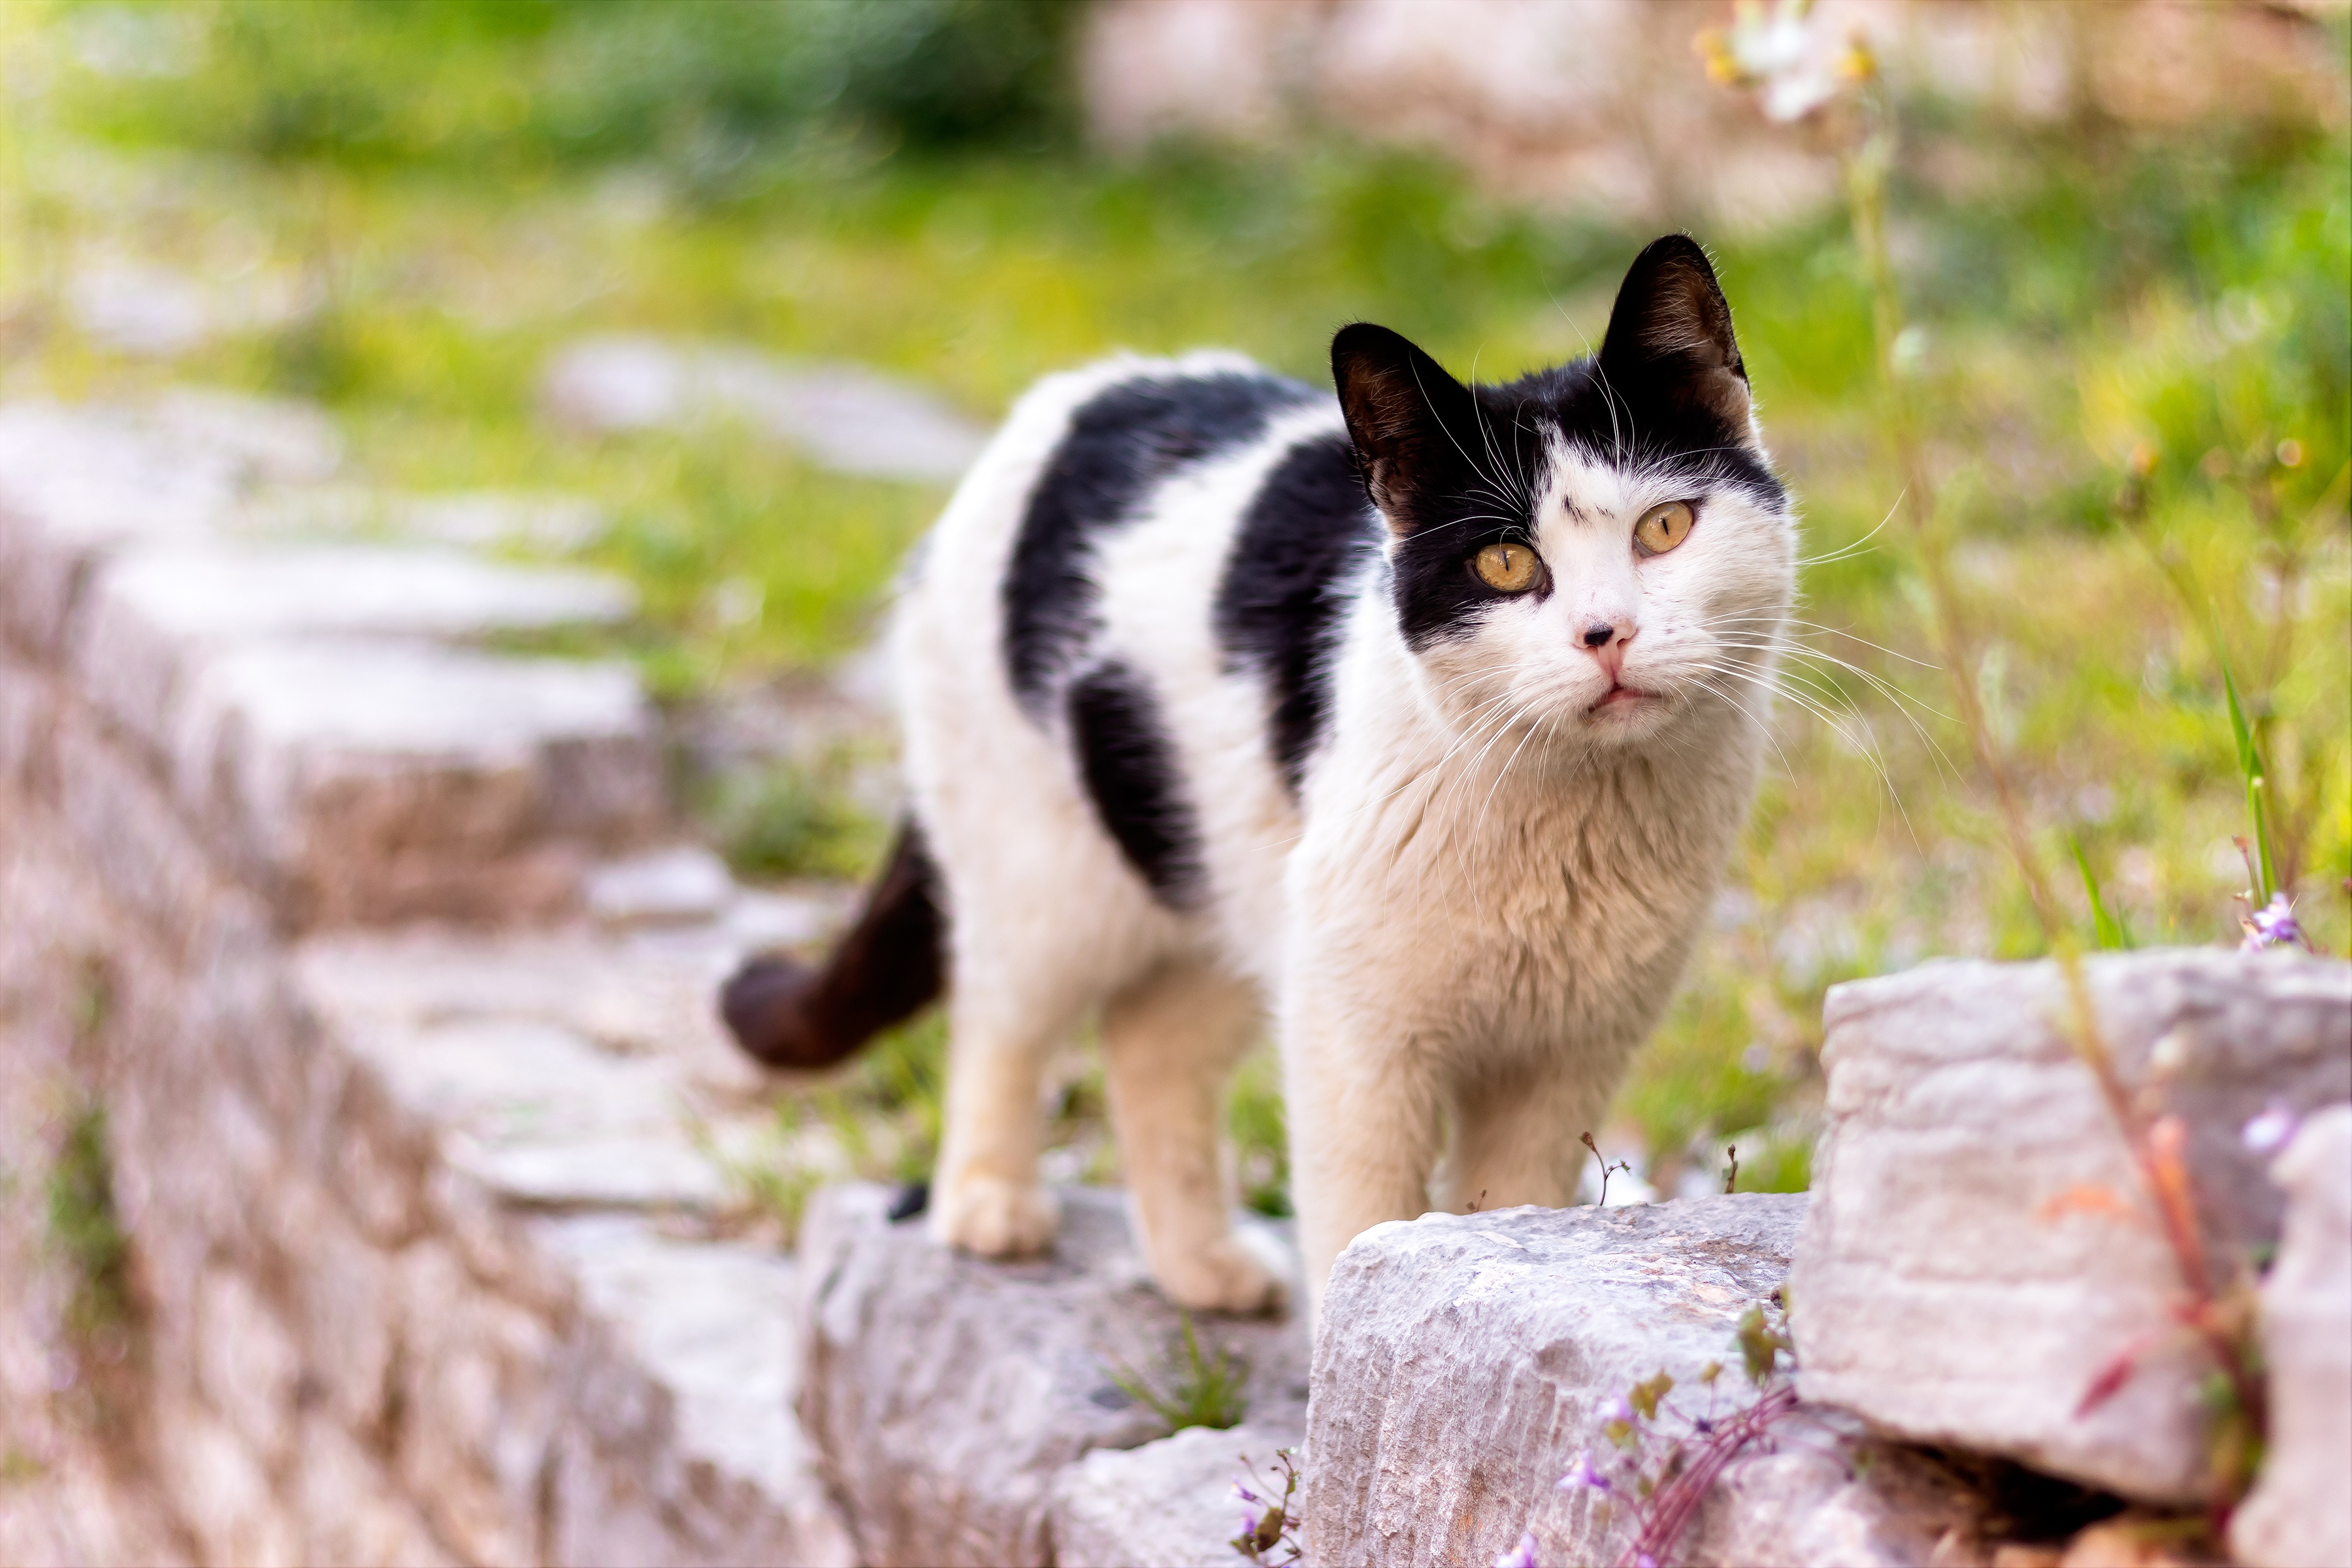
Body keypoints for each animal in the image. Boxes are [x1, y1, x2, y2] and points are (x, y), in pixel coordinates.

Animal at [724, 236, 1788, 1326]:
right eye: (1504, 562)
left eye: (1664, 529)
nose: (1606, 634)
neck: (1571, 816)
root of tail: (1071, 396)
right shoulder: (1355, 1041)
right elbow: (1362, 1220)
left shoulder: (1564, 1055)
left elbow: (1501, 1210)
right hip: (1047, 875)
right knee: (997, 1016)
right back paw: (989, 1206)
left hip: (1228, 884)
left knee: (1146, 1045)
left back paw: (1200, 1266)